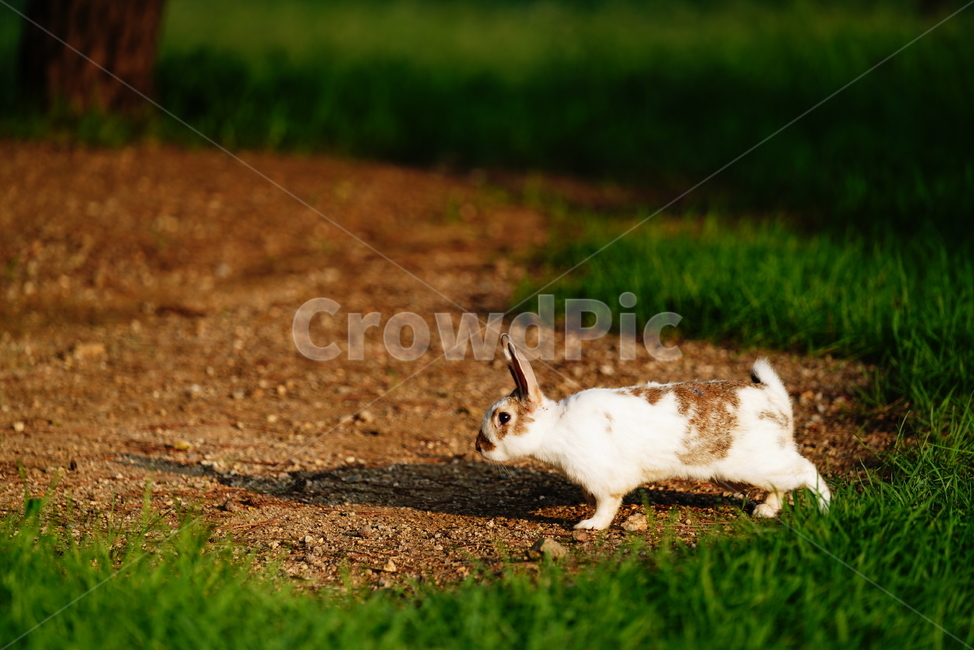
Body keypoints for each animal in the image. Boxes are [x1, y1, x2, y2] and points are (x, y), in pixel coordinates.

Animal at [475, 334, 831, 530]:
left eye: (503, 417)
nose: (479, 447)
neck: (554, 427)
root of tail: (776, 400)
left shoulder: (606, 483)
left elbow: (607, 506)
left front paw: (589, 525)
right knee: (779, 488)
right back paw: (765, 511)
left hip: (761, 462)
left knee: (807, 471)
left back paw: (825, 508)